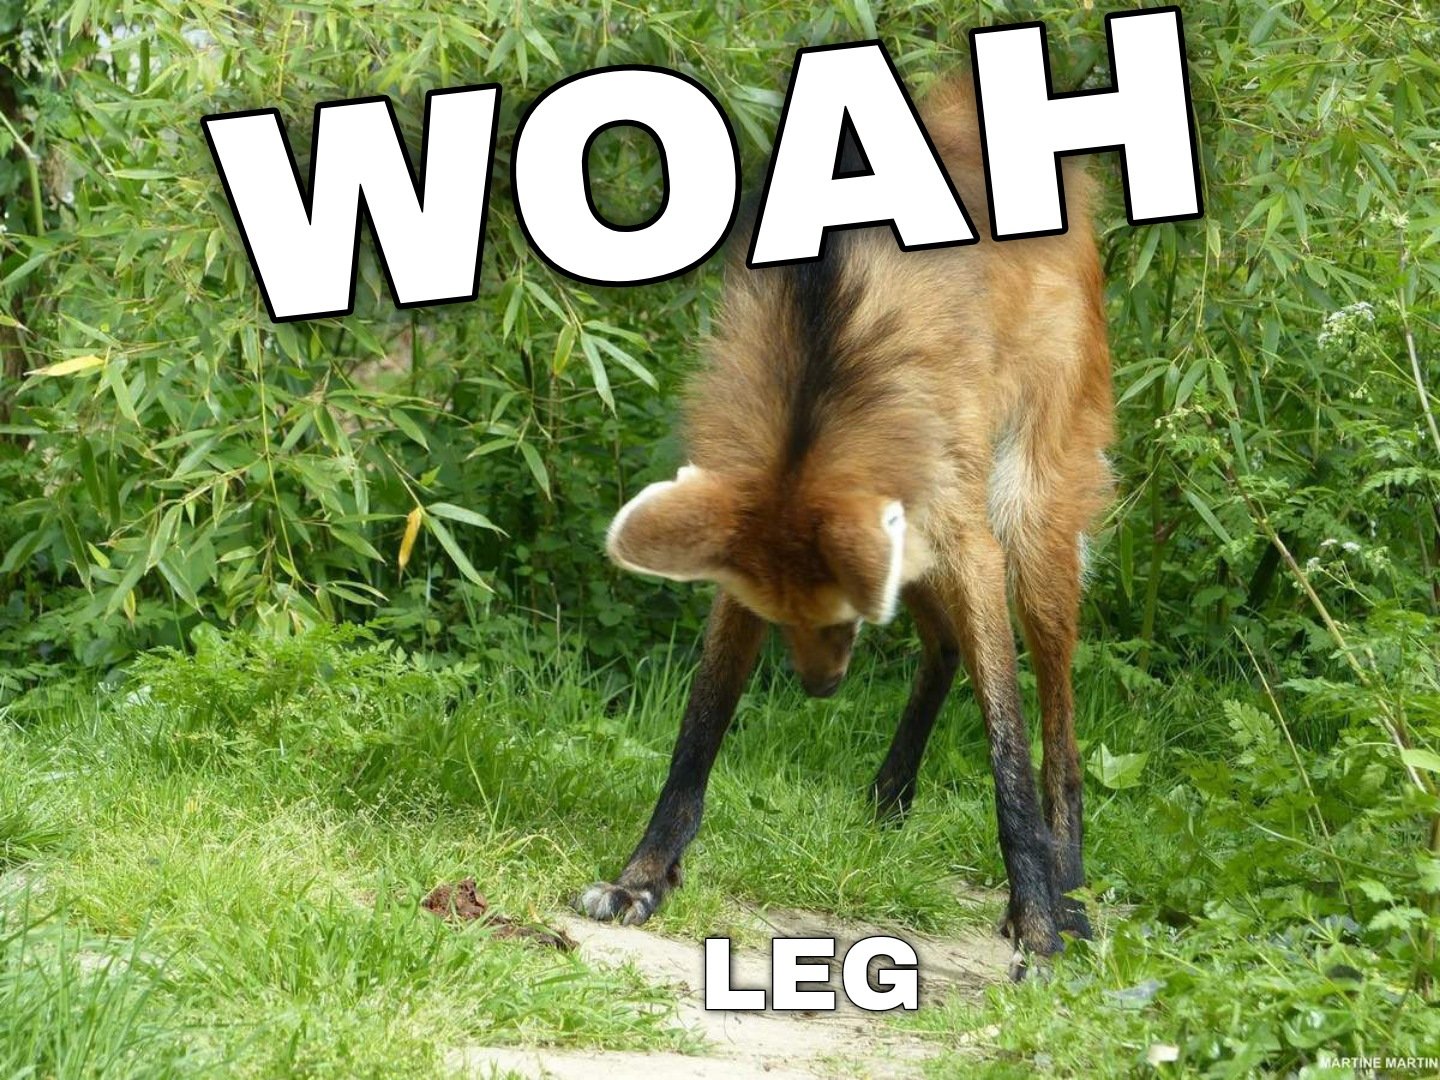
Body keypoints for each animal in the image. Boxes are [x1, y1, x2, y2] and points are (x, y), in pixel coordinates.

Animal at [578, 72, 1114, 964]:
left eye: (838, 624)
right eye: (788, 622)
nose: (820, 688)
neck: (821, 381)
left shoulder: (959, 534)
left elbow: (1005, 738)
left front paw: (1037, 922)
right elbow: (700, 728)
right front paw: (641, 879)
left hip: (1028, 510)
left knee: (1058, 725)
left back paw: (1068, 887)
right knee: (943, 647)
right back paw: (891, 796)